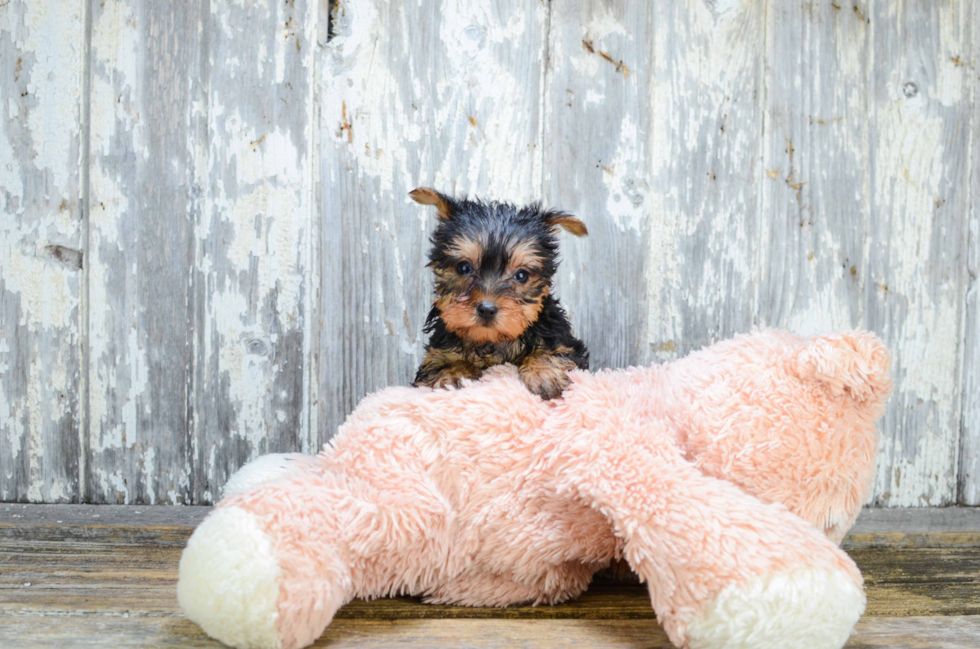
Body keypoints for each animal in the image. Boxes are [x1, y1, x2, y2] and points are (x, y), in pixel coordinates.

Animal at [408, 186, 584, 400]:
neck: (491, 341)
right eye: (464, 268)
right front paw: (452, 375)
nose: (486, 309)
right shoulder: (436, 354)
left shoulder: (562, 340)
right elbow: (443, 364)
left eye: (522, 275)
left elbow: (552, 351)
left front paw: (545, 373)